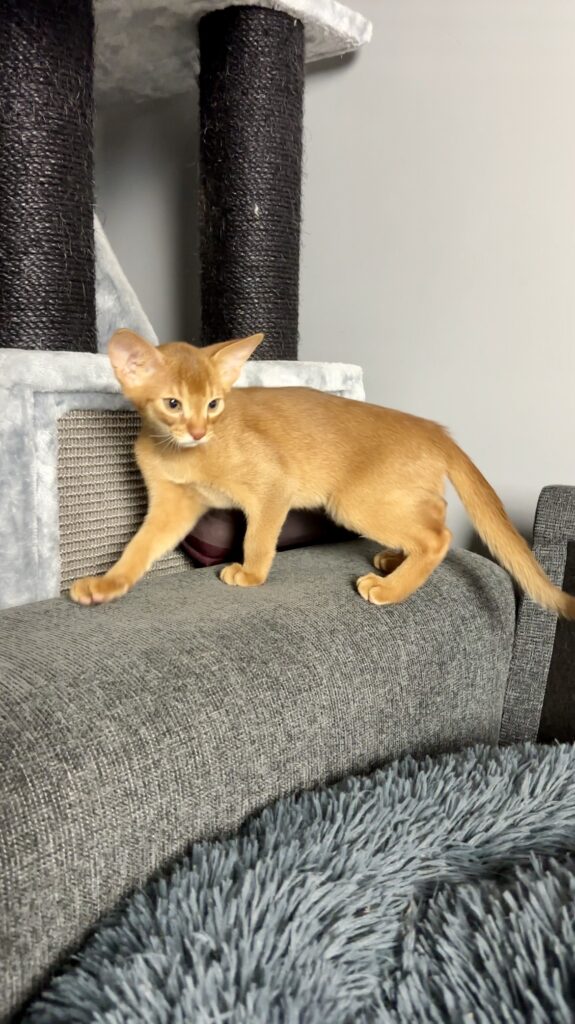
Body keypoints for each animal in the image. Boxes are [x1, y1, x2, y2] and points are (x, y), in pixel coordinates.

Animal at [70, 328, 575, 618]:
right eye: (173, 404)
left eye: (214, 404)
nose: (198, 430)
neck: (183, 454)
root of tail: (434, 429)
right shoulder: (174, 504)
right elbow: (139, 549)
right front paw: (106, 585)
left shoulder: (273, 485)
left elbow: (258, 538)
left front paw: (250, 575)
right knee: (435, 514)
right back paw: (393, 561)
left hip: (351, 501)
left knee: (439, 536)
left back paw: (390, 589)